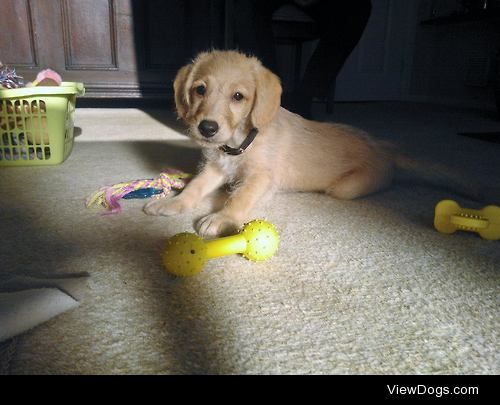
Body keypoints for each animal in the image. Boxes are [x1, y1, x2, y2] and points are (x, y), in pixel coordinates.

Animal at [144, 49, 480, 237]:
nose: (207, 128)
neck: (242, 142)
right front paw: (172, 203)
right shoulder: (216, 167)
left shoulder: (261, 177)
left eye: (238, 96)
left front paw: (222, 217)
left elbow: (239, 198)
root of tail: (383, 147)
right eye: (200, 89)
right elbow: (195, 186)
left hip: (348, 188)